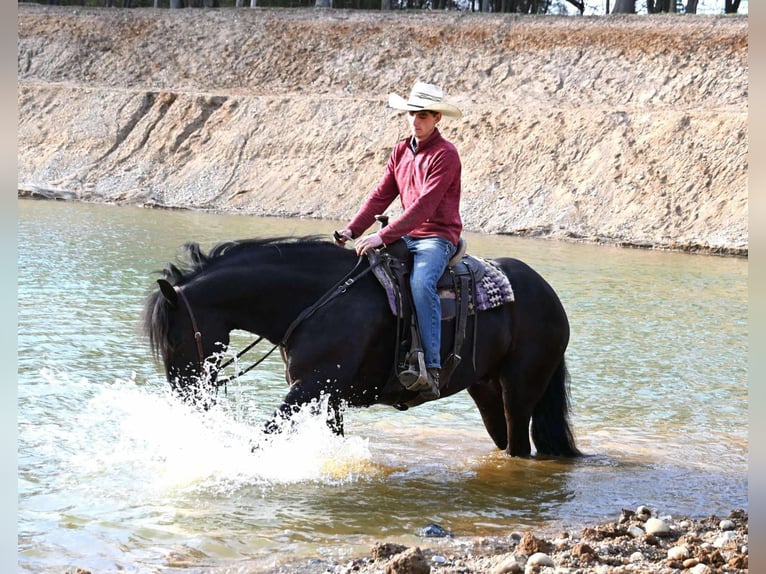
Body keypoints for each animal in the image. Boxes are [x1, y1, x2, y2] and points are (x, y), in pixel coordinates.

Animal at [142, 236, 580, 458]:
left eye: (174, 337)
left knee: (519, 444)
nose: (184, 397)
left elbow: (264, 435)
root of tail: (548, 293)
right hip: (485, 389)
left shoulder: (307, 387)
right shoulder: (330, 395)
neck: (317, 300)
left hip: (519, 390)